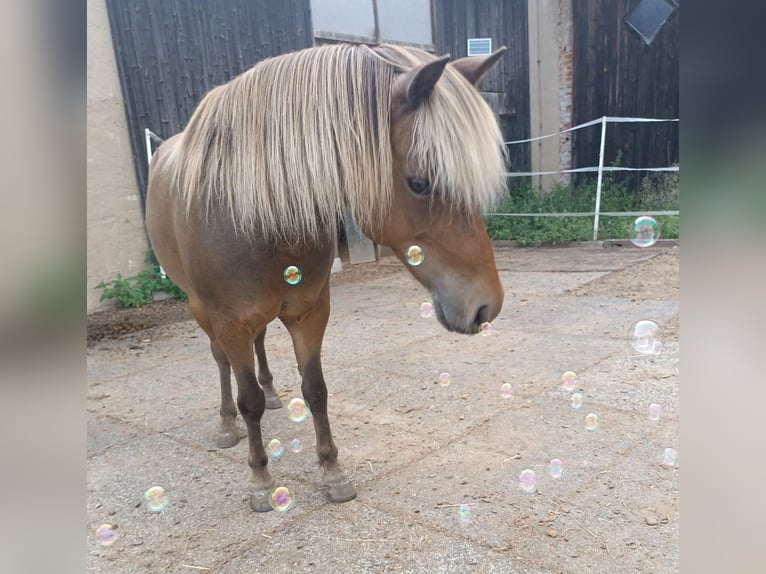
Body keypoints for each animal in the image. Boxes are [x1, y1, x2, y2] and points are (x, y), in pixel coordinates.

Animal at [148, 44, 510, 512]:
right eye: (419, 182)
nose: (488, 305)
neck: (254, 214)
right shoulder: (230, 321)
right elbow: (249, 401)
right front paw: (261, 479)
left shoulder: (309, 311)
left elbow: (315, 389)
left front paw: (332, 471)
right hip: (201, 309)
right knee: (222, 363)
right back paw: (227, 425)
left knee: (261, 347)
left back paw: (274, 394)